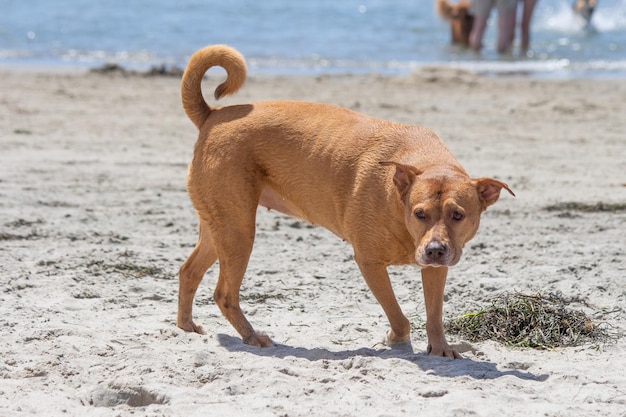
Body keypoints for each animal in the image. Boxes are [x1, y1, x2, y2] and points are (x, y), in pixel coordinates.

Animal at [176, 44, 512, 358]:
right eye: (420, 213)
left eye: (458, 215)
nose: (435, 250)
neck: (398, 199)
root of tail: (212, 115)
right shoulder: (369, 263)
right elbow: (399, 316)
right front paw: (394, 339)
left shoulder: (434, 269)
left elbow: (434, 315)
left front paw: (440, 347)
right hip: (239, 232)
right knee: (224, 293)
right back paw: (251, 336)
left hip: (220, 227)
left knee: (188, 271)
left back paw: (186, 326)